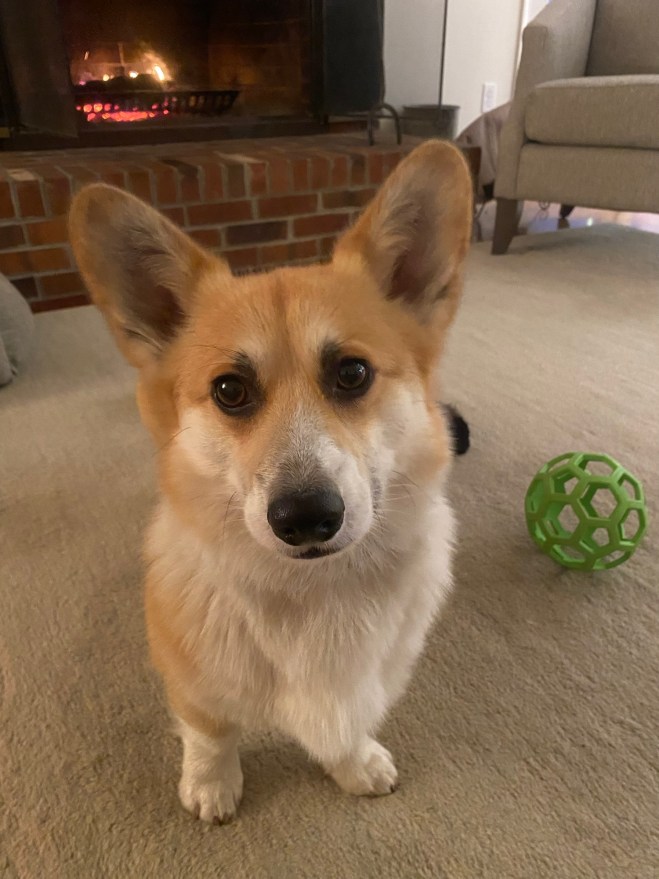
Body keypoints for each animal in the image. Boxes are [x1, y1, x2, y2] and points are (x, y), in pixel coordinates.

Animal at [69, 140, 472, 823]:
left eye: (353, 373)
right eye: (230, 390)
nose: (306, 518)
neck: (314, 589)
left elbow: (348, 723)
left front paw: (354, 763)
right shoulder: (193, 680)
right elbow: (210, 732)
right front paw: (211, 785)